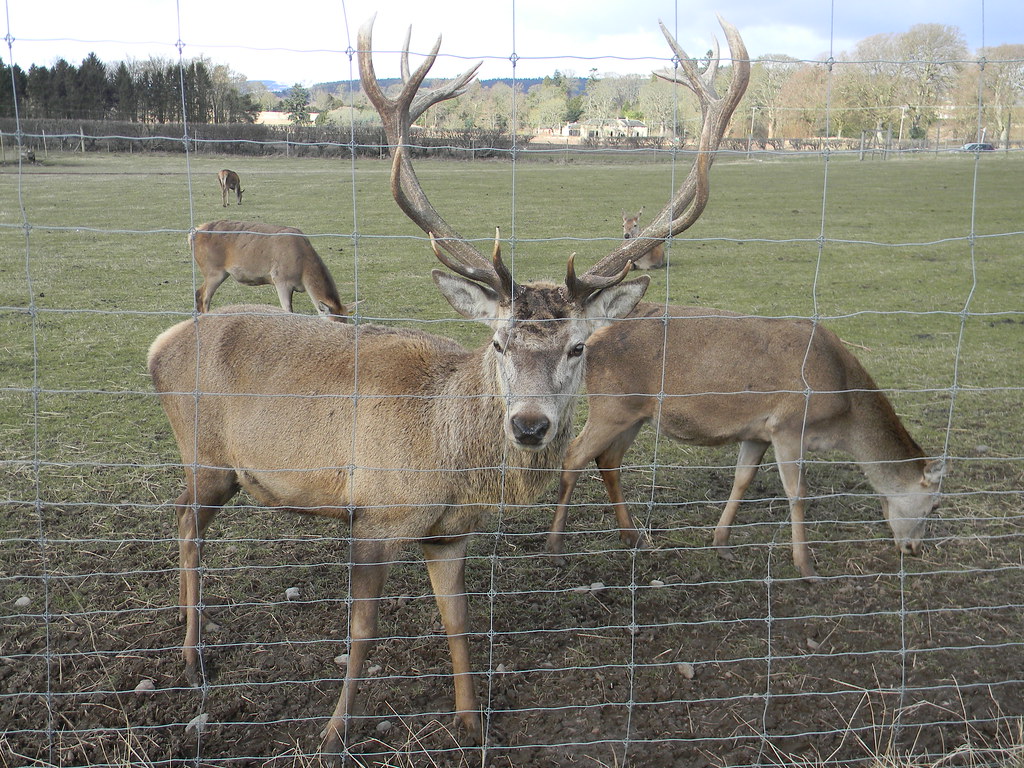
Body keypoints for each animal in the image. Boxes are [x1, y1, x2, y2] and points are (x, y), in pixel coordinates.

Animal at [190, 219, 350, 321]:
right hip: (214, 271)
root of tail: (193, 233)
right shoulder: (280, 279)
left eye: (346, 321)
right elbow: (287, 309)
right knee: (202, 295)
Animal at [545, 304, 946, 579]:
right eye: (934, 506)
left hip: (633, 414)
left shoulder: (757, 433)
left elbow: (743, 479)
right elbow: (797, 493)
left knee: (608, 460)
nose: (914, 548)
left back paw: (634, 537)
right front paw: (806, 566)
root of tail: (590, 341)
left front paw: (721, 544)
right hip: (611, 406)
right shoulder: (788, 426)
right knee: (573, 456)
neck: (842, 410)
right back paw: (556, 548)